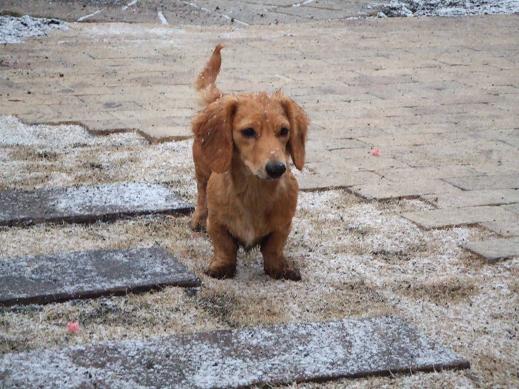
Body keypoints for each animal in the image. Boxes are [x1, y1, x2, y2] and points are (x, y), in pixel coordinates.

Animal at [191, 44, 308, 280]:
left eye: (284, 131)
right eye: (248, 131)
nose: (277, 169)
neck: (254, 192)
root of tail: (220, 98)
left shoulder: (283, 225)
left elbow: (274, 248)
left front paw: (280, 269)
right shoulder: (217, 222)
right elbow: (224, 246)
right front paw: (221, 267)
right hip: (202, 170)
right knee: (201, 194)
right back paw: (198, 219)